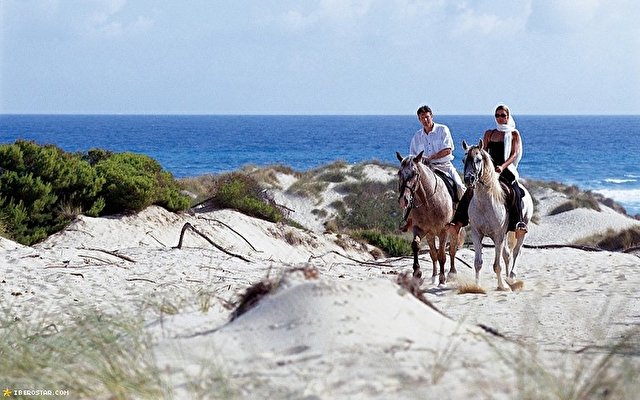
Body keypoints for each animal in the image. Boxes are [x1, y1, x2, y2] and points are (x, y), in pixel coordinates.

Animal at [396, 150, 460, 284]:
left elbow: (442, 254)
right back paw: (434, 275)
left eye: (414, 173)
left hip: (455, 229)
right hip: (430, 234)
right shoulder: (420, 229)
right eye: (399, 173)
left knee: (452, 250)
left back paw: (452, 272)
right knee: (433, 253)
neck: (428, 202)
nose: (403, 200)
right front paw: (417, 272)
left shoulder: (443, 231)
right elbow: (416, 246)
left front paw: (442, 278)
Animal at [460, 139, 536, 290]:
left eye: (478, 160)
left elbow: (497, 265)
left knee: (516, 252)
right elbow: (478, 263)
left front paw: (502, 286)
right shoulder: (477, 234)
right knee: (507, 255)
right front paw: (477, 286)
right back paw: (507, 278)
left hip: (521, 229)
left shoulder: (498, 236)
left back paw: (511, 277)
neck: (485, 203)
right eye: (463, 160)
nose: (468, 179)